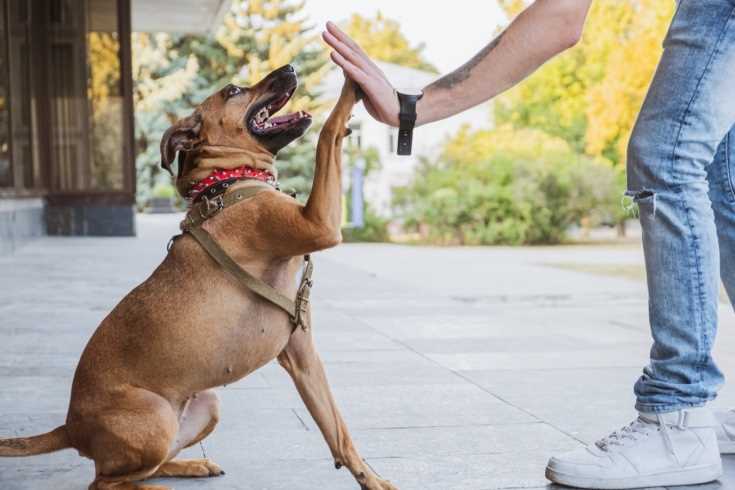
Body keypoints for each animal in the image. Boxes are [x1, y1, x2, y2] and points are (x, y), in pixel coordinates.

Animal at [0, 66, 400, 490]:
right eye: (233, 90)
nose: (290, 69)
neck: (229, 180)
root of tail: (71, 427)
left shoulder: (302, 356)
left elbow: (338, 431)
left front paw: (371, 480)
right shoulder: (319, 224)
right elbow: (328, 131)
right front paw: (353, 82)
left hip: (207, 405)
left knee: (141, 467)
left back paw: (192, 465)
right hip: (155, 417)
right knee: (105, 482)